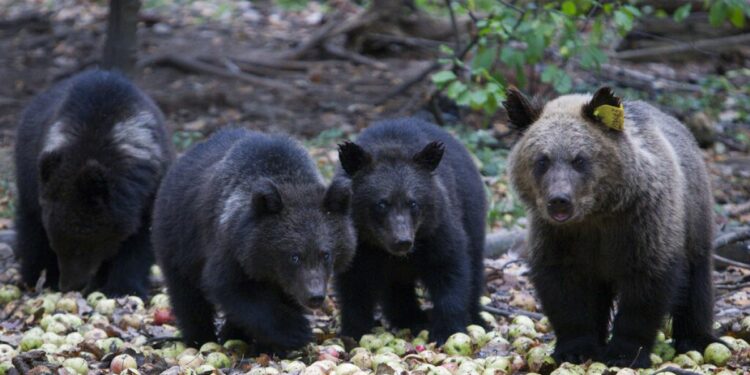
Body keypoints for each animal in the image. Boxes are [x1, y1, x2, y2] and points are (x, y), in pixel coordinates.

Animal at [14, 70, 173, 300]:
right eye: (56, 243)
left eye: (82, 246)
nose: (69, 285)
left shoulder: (149, 191)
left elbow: (140, 241)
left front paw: (124, 287)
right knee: (30, 226)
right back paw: (34, 276)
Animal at [151, 129, 356, 352]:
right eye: (294, 256)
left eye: (326, 254)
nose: (315, 296)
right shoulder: (229, 245)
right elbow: (230, 287)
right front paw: (295, 330)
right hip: (178, 239)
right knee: (187, 295)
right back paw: (200, 337)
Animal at [334, 118, 488, 346]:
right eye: (381, 204)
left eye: (413, 203)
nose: (402, 241)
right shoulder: (359, 243)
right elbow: (354, 282)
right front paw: (354, 330)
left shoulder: (436, 229)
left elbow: (450, 269)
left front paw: (447, 330)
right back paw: (409, 318)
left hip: (472, 212)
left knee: (475, 265)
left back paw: (477, 317)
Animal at [508, 86, 720, 368]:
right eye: (542, 160)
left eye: (579, 160)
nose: (559, 200)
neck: (596, 214)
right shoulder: (559, 237)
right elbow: (564, 290)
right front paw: (576, 348)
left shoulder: (643, 225)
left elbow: (646, 287)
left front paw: (625, 353)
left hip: (694, 218)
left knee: (697, 280)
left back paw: (696, 338)